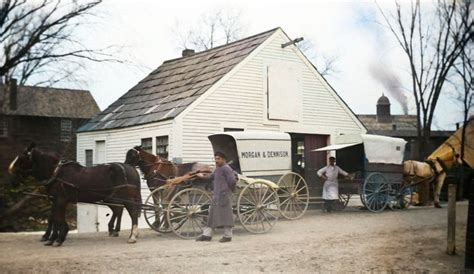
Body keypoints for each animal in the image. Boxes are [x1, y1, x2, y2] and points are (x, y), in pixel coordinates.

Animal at [8, 143, 141, 246]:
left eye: (22, 159)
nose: (12, 181)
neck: (57, 173)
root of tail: (131, 168)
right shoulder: (56, 199)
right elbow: (54, 218)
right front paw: (52, 238)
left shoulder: (60, 199)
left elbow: (57, 218)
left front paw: (58, 238)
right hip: (112, 198)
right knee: (119, 210)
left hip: (126, 198)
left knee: (132, 213)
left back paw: (132, 236)